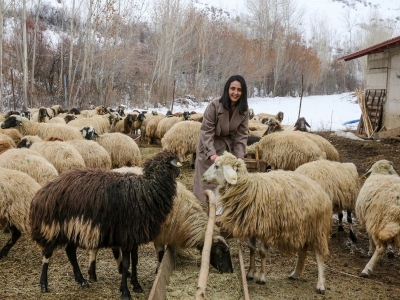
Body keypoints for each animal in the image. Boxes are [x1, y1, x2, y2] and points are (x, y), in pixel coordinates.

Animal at [28, 151, 182, 298]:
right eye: (175, 164)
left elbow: (135, 260)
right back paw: (43, 284)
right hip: (54, 227)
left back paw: (81, 280)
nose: (179, 172)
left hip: (72, 228)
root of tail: (41, 195)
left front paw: (136, 285)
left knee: (70, 251)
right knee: (47, 253)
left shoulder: (133, 236)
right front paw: (125, 291)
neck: (148, 189)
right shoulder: (126, 235)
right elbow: (126, 264)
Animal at [203, 150, 332, 292]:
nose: (203, 177)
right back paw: (295, 274)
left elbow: (263, 252)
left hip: (318, 229)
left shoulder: (265, 227)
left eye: (216, 166)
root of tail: (321, 191)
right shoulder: (252, 226)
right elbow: (252, 249)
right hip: (304, 228)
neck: (249, 190)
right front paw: (250, 274)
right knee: (303, 251)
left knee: (319, 255)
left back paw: (320, 285)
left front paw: (262, 277)